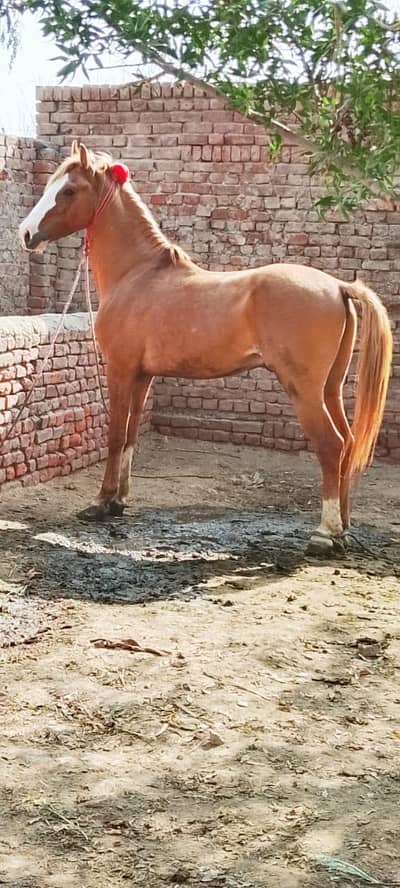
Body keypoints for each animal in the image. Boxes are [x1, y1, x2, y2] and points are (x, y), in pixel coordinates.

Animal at [19, 141, 392, 554]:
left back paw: (324, 533)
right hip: (330, 388)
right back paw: (343, 526)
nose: (26, 233)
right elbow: (131, 435)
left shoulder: (119, 370)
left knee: (331, 445)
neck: (137, 275)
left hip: (305, 391)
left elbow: (115, 436)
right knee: (349, 444)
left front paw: (100, 503)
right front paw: (119, 501)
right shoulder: (142, 376)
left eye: (68, 190)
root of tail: (339, 286)